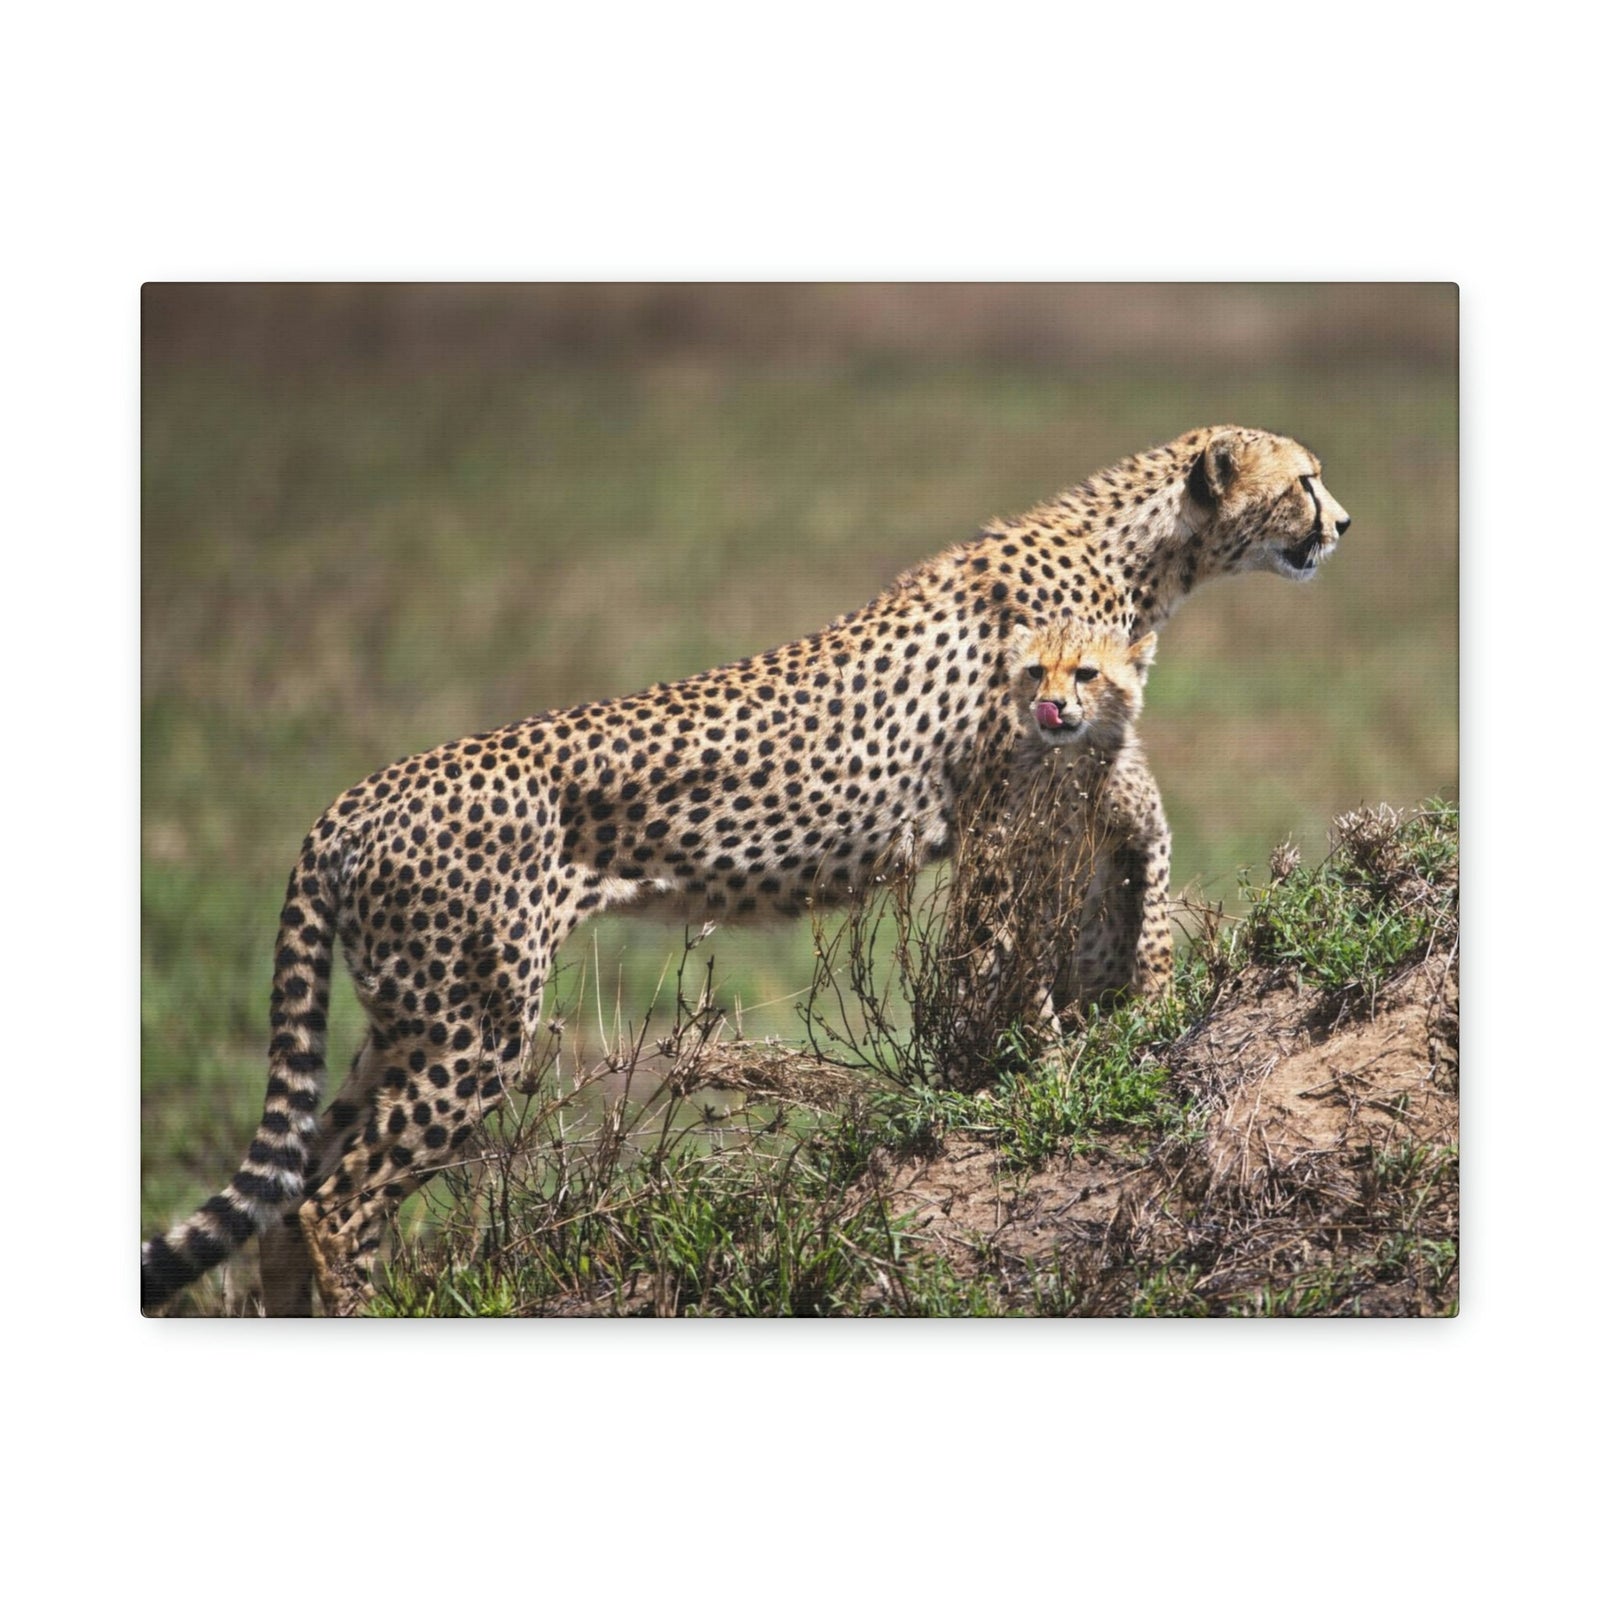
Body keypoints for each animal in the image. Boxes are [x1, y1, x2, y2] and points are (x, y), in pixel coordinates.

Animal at [141, 423, 1349, 1314]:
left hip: (411, 1016)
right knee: (334, 1204)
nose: (1341, 522)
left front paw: (1119, 1022)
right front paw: (1024, 1079)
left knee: (296, 1188)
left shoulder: (1082, 774)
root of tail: (347, 801)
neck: (1142, 550)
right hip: (474, 1025)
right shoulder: (1007, 814)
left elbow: (1123, 878)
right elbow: (1007, 956)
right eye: (1306, 479)